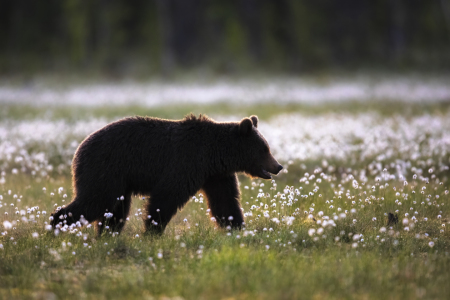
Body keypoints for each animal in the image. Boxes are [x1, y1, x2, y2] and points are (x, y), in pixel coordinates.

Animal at [49, 115, 282, 234]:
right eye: (264, 148)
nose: (278, 166)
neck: (214, 155)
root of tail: (78, 149)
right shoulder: (185, 163)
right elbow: (166, 197)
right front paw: (153, 230)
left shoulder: (216, 175)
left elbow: (225, 202)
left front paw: (237, 228)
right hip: (105, 169)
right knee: (95, 201)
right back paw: (55, 225)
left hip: (118, 181)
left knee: (115, 210)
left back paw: (107, 234)